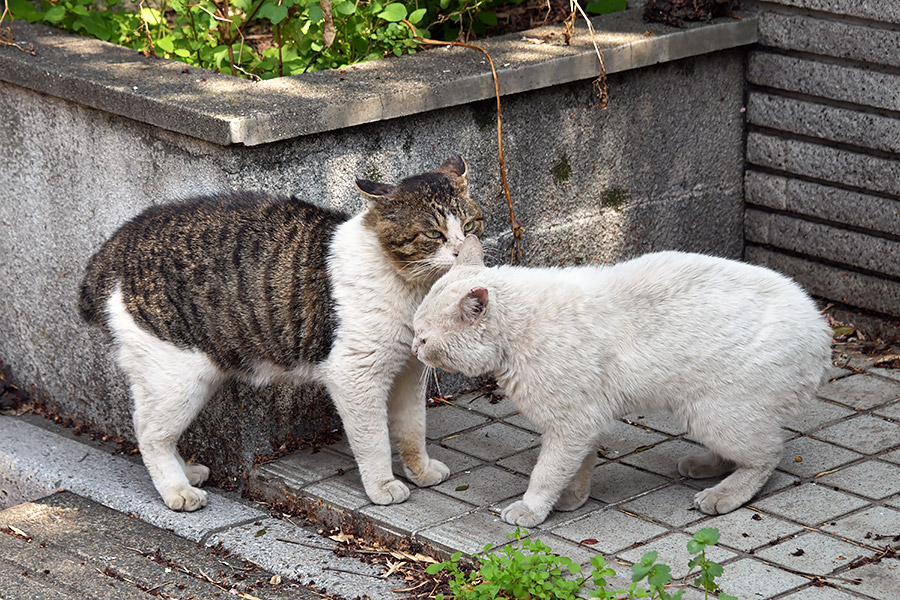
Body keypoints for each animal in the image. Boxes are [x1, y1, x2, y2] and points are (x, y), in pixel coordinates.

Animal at [80, 156, 482, 510]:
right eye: (433, 233)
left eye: (470, 226)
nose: (462, 250)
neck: (412, 289)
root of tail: (113, 245)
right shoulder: (355, 376)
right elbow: (374, 441)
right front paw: (383, 485)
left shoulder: (410, 373)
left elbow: (412, 428)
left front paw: (419, 470)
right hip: (176, 377)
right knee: (148, 433)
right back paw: (176, 490)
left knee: (150, 425)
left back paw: (187, 473)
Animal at [412, 234, 832, 524]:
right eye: (414, 331)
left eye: (424, 337)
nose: (414, 348)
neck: (518, 333)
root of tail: (822, 330)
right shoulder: (583, 422)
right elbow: (577, 466)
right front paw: (571, 500)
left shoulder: (572, 422)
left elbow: (547, 472)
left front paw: (532, 509)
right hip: (708, 414)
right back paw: (702, 467)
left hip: (715, 412)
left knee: (767, 455)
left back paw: (721, 495)